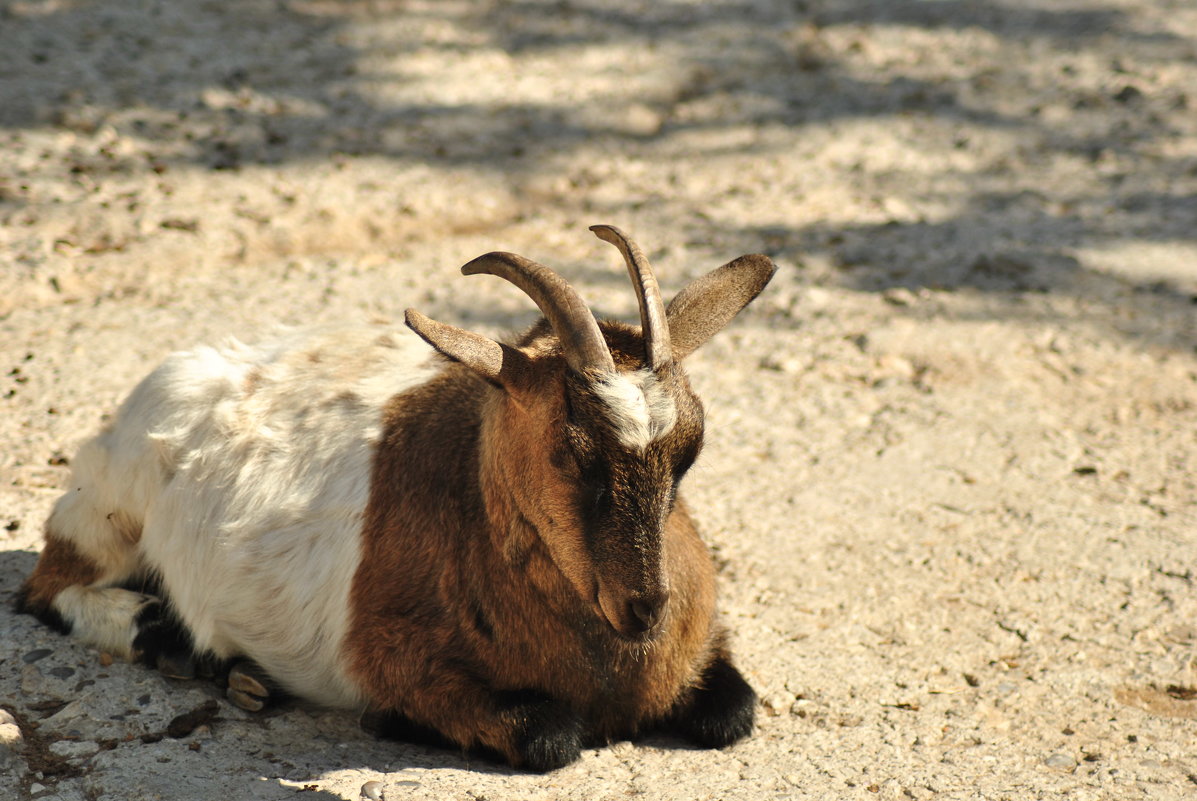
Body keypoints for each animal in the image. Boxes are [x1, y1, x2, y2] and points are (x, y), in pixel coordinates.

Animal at [16, 223, 775, 766]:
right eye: (570, 453)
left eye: (690, 451)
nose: (643, 608)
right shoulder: (397, 657)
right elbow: (549, 736)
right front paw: (392, 721)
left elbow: (735, 712)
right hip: (108, 507)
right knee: (46, 589)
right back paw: (174, 642)